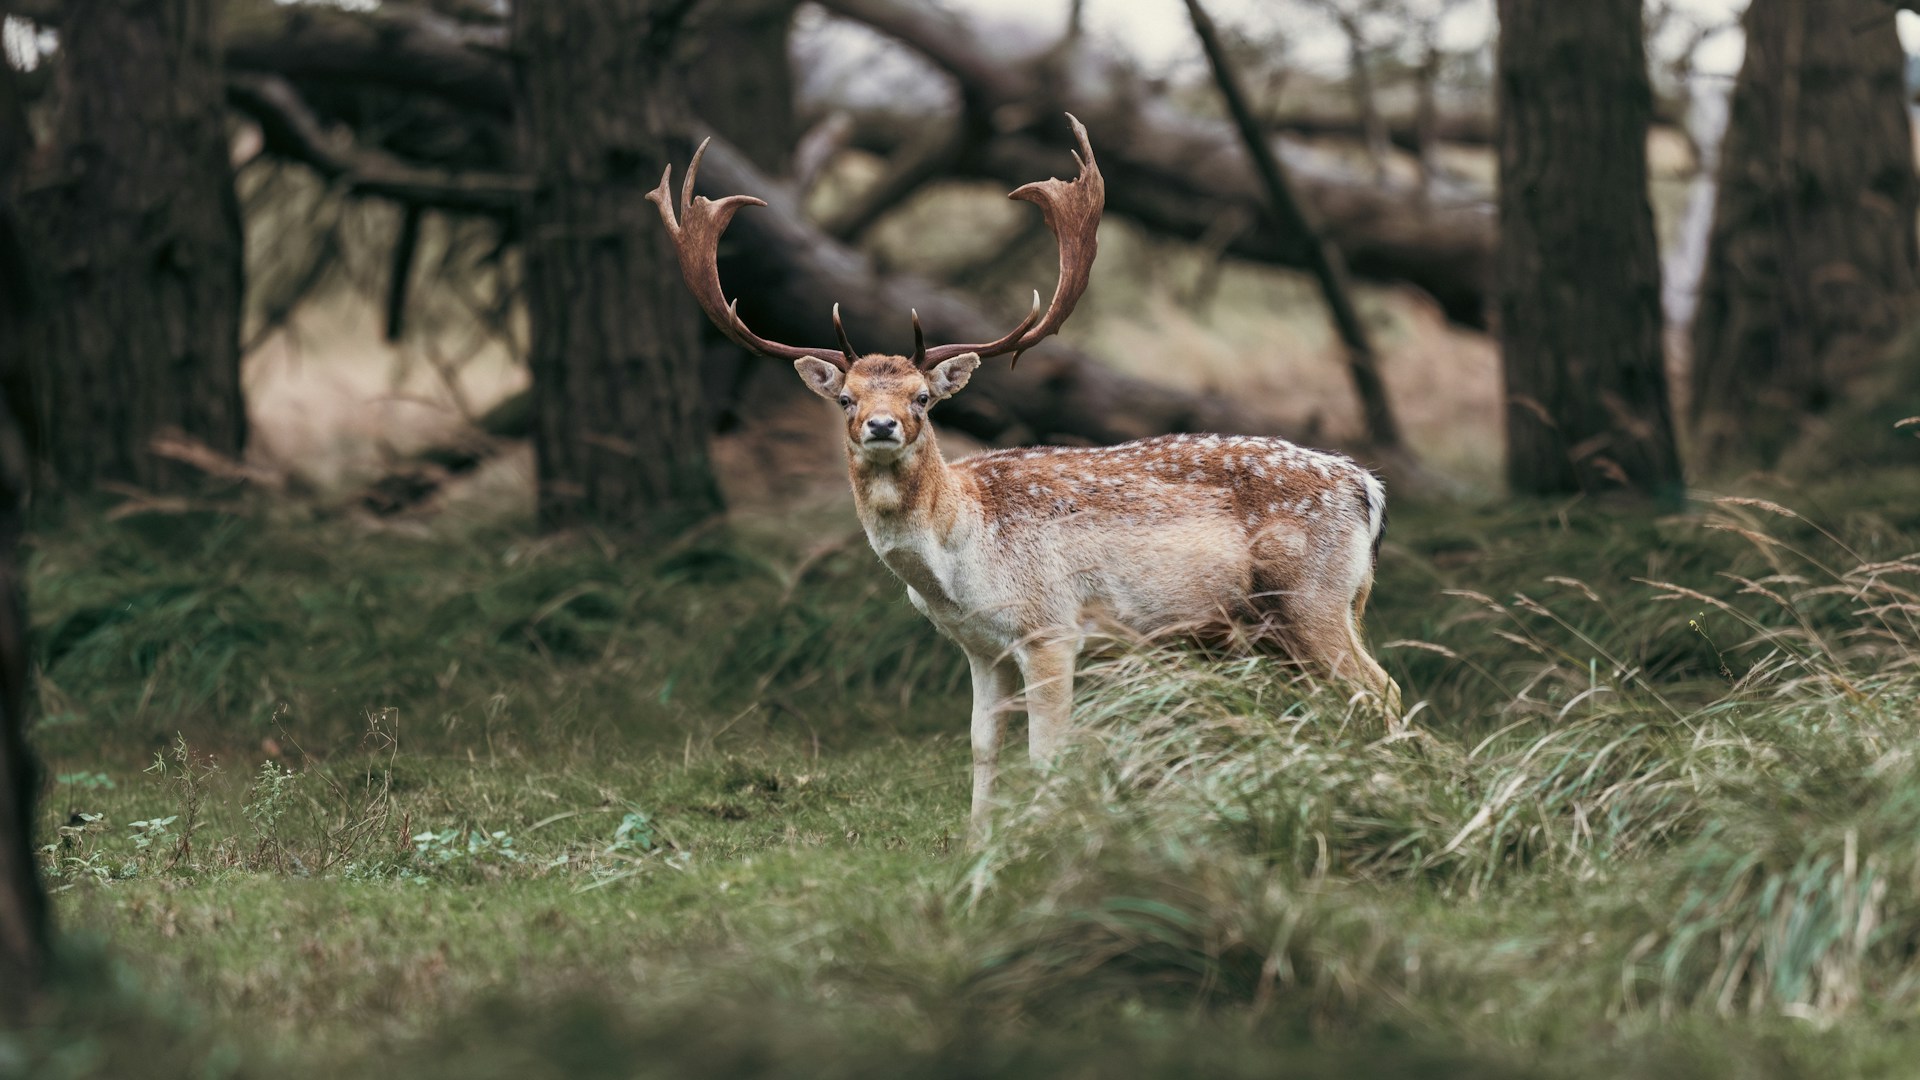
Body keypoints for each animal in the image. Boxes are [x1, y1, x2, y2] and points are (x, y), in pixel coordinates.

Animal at [649, 116, 1400, 835]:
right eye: (846, 399)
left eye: (922, 397)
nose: (881, 426)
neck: (961, 556)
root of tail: (1365, 486)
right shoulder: (979, 648)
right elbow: (982, 746)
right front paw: (975, 843)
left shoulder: (1051, 628)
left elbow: (1047, 750)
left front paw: (1039, 841)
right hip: (1287, 622)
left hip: (1312, 597)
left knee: (1381, 691)